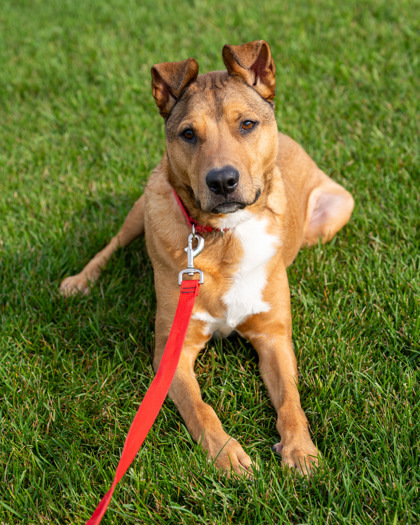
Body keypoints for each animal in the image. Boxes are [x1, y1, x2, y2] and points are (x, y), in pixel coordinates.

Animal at [60, 40, 354, 474]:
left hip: (338, 209)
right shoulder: (173, 351)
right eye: (188, 133)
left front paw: (300, 450)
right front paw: (226, 454)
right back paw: (80, 281)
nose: (222, 181)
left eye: (247, 124)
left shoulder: (274, 336)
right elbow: (200, 409)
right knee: (112, 243)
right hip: (145, 202)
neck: (225, 236)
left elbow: (290, 400)